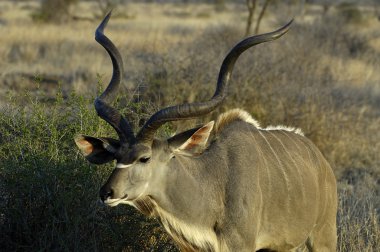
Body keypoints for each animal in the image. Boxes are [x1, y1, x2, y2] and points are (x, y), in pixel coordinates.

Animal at [74, 12, 336, 252]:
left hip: (323, 235)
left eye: (144, 158)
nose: (107, 193)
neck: (212, 185)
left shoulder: (241, 245)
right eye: (116, 156)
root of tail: (322, 162)